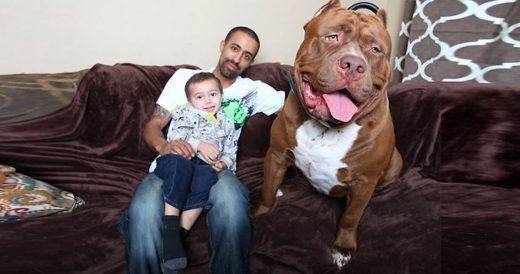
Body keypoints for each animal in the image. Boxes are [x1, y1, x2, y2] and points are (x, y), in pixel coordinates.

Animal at [254, 0, 404, 268]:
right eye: (332, 36)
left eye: (375, 49)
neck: (326, 127)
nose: (354, 65)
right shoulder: (277, 154)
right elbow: (267, 191)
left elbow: (350, 217)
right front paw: (261, 214)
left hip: (396, 162)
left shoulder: (364, 182)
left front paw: (343, 248)